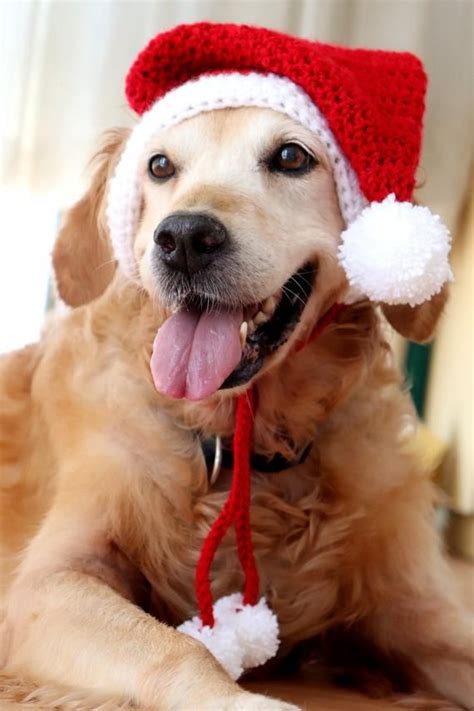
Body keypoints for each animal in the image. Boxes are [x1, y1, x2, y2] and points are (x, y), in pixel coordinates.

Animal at [0, 107, 472, 711]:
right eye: (159, 165)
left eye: (291, 156)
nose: (183, 238)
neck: (241, 443)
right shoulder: (49, 582)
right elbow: (178, 648)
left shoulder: (411, 607)